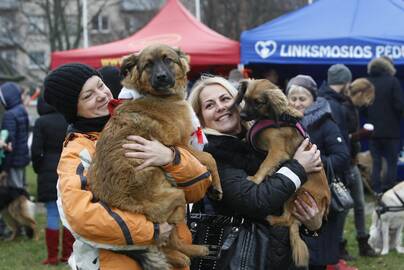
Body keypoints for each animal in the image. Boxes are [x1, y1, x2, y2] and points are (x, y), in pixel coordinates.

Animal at [88, 44, 223, 268]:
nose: (161, 77)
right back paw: (193, 252)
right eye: (148, 65)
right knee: (170, 237)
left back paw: (185, 255)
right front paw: (217, 187)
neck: (156, 96)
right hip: (176, 196)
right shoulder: (180, 145)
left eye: (168, 59)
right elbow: (210, 158)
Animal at [235, 79, 330, 266]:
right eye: (246, 99)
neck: (271, 118)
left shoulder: (277, 152)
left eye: (258, 102)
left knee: (286, 220)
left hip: (297, 192)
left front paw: (255, 178)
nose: (241, 116)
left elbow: (264, 165)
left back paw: (270, 218)